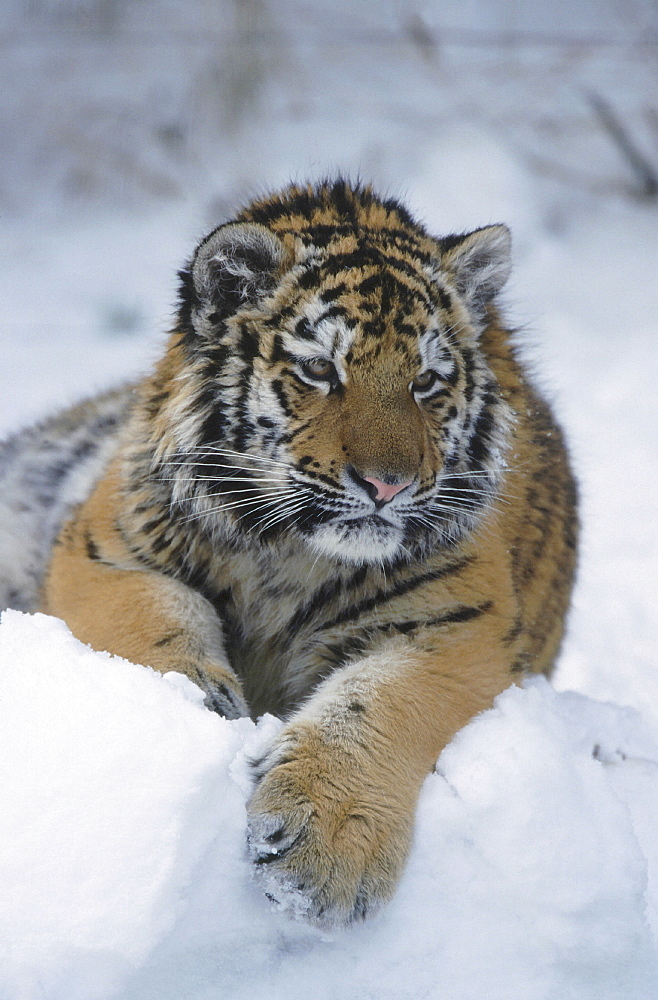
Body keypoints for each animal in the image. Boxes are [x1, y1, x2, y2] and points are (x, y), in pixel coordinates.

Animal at [0, 180, 576, 928]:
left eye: (425, 381)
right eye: (320, 370)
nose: (388, 485)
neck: (288, 551)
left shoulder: (460, 625)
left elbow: (380, 704)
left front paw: (324, 851)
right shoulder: (103, 550)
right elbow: (147, 615)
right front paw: (197, 702)